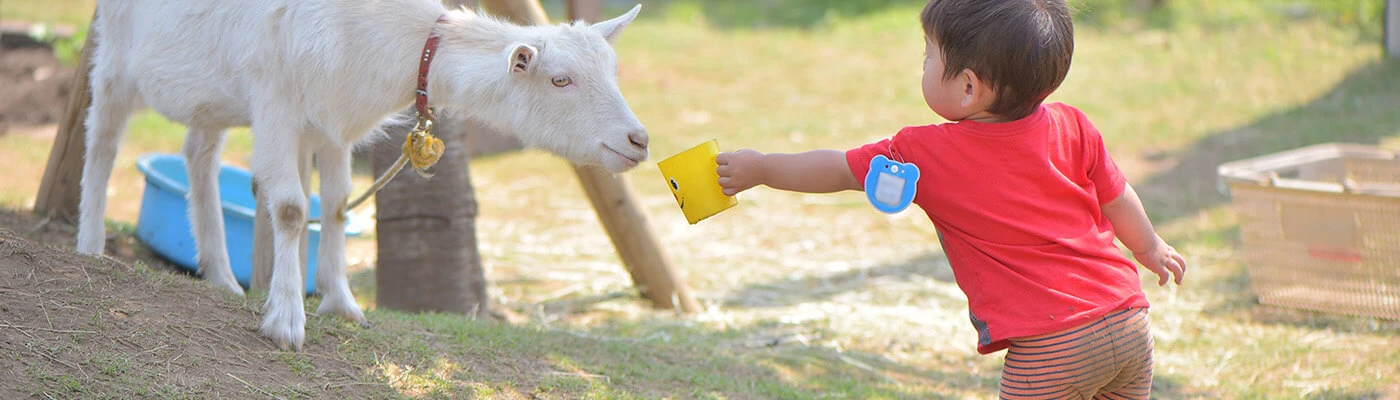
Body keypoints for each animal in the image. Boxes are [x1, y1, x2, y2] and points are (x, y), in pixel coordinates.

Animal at [76, 0, 649, 350]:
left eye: (614, 71)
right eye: (560, 80)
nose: (638, 140)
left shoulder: (331, 125)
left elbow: (334, 205)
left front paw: (342, 303)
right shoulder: (277, 101)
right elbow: (290, 208)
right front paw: (286, 321)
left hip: (212, 97)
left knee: (199, 152)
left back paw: (219, 274)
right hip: (115, 55)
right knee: (101, 141)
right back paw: (90, 246)